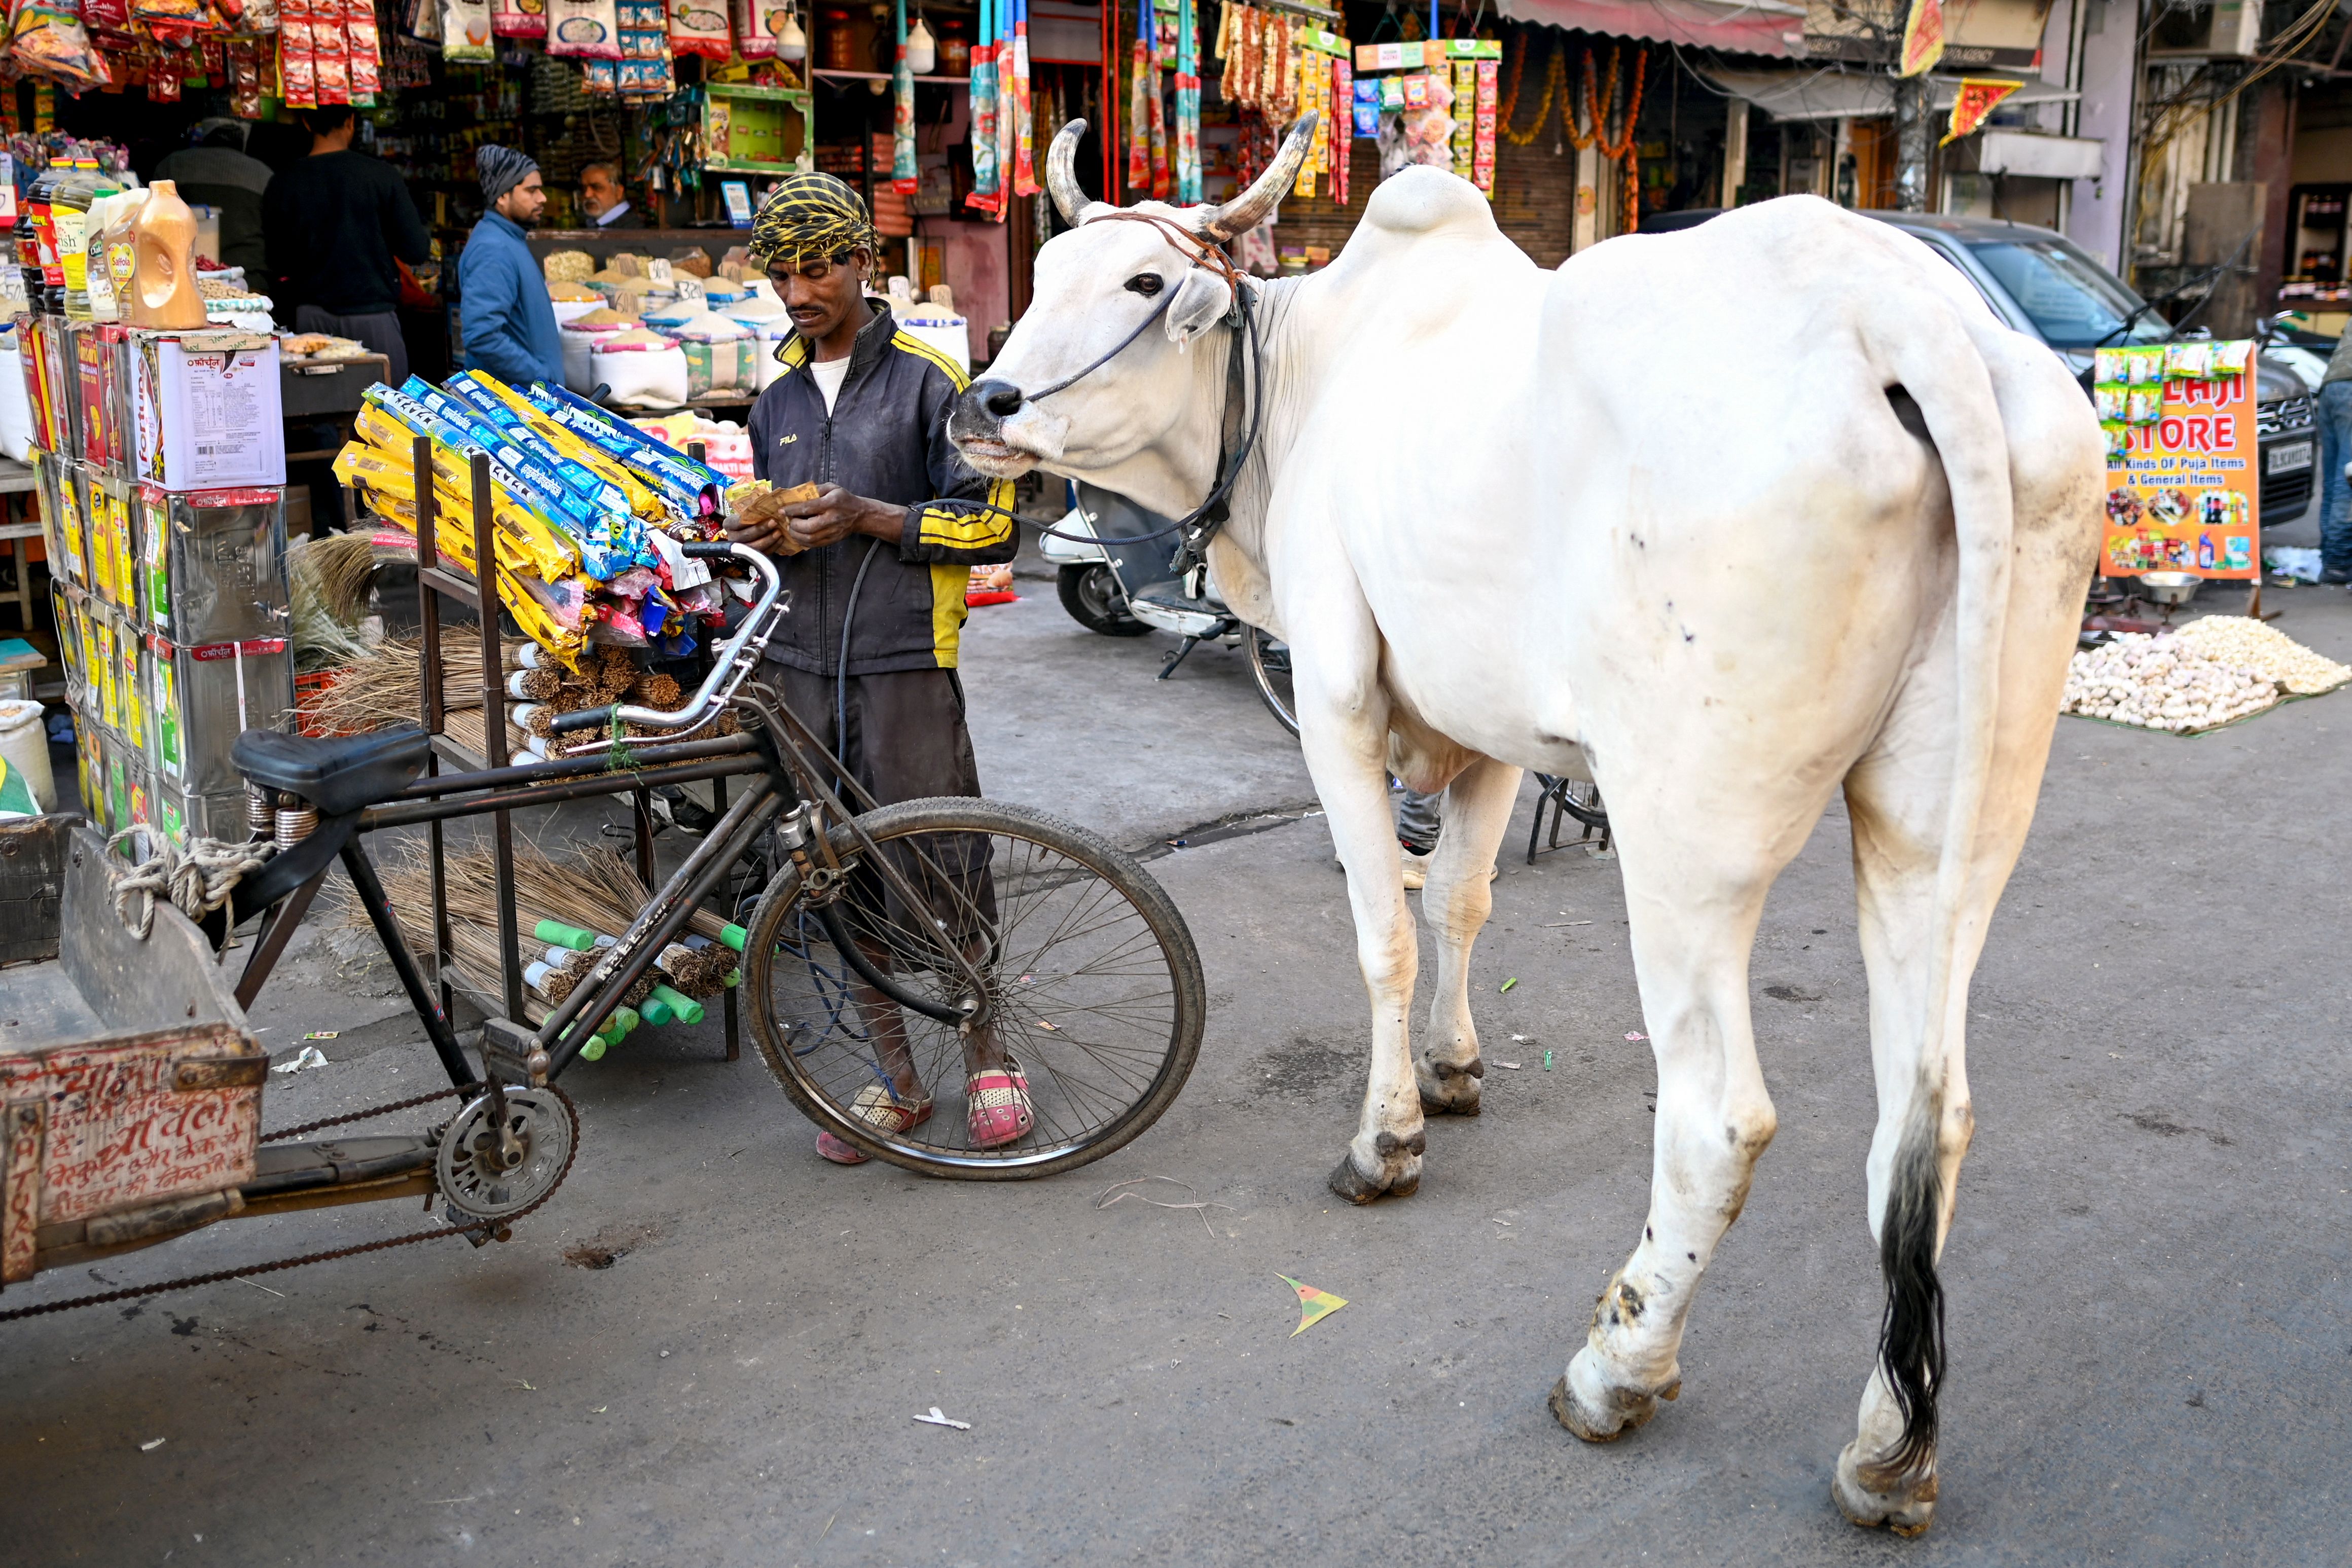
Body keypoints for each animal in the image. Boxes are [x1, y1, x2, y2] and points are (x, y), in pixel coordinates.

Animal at [950, 115, 2104, 1535]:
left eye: (1142, 283)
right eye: (1046, 268)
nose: (985, 403)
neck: (1304, 383)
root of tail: (1904, 312)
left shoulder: (1335, 693)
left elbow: (1385, 930)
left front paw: (1386, 1138)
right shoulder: (1484, 724)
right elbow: (1460, 897)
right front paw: (1452, 1072)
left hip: (1685, 841)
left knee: (1718, 1117)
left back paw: (1615, 1368)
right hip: (1950, 824)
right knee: (1922, 1121)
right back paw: (1888, 1452)